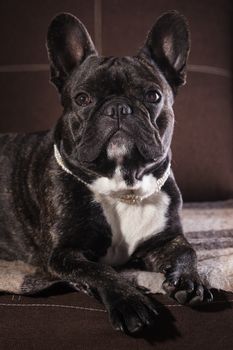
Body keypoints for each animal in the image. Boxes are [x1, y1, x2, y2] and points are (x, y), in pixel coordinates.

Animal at [0, 10, 212, 334]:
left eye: (153, 96)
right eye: (83, 99)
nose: (118, 108)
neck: (123, 186)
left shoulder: (167, 239)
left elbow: (189, 251)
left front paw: (190, 281)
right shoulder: (64, 254)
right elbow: (100, 270)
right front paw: (129, 302)